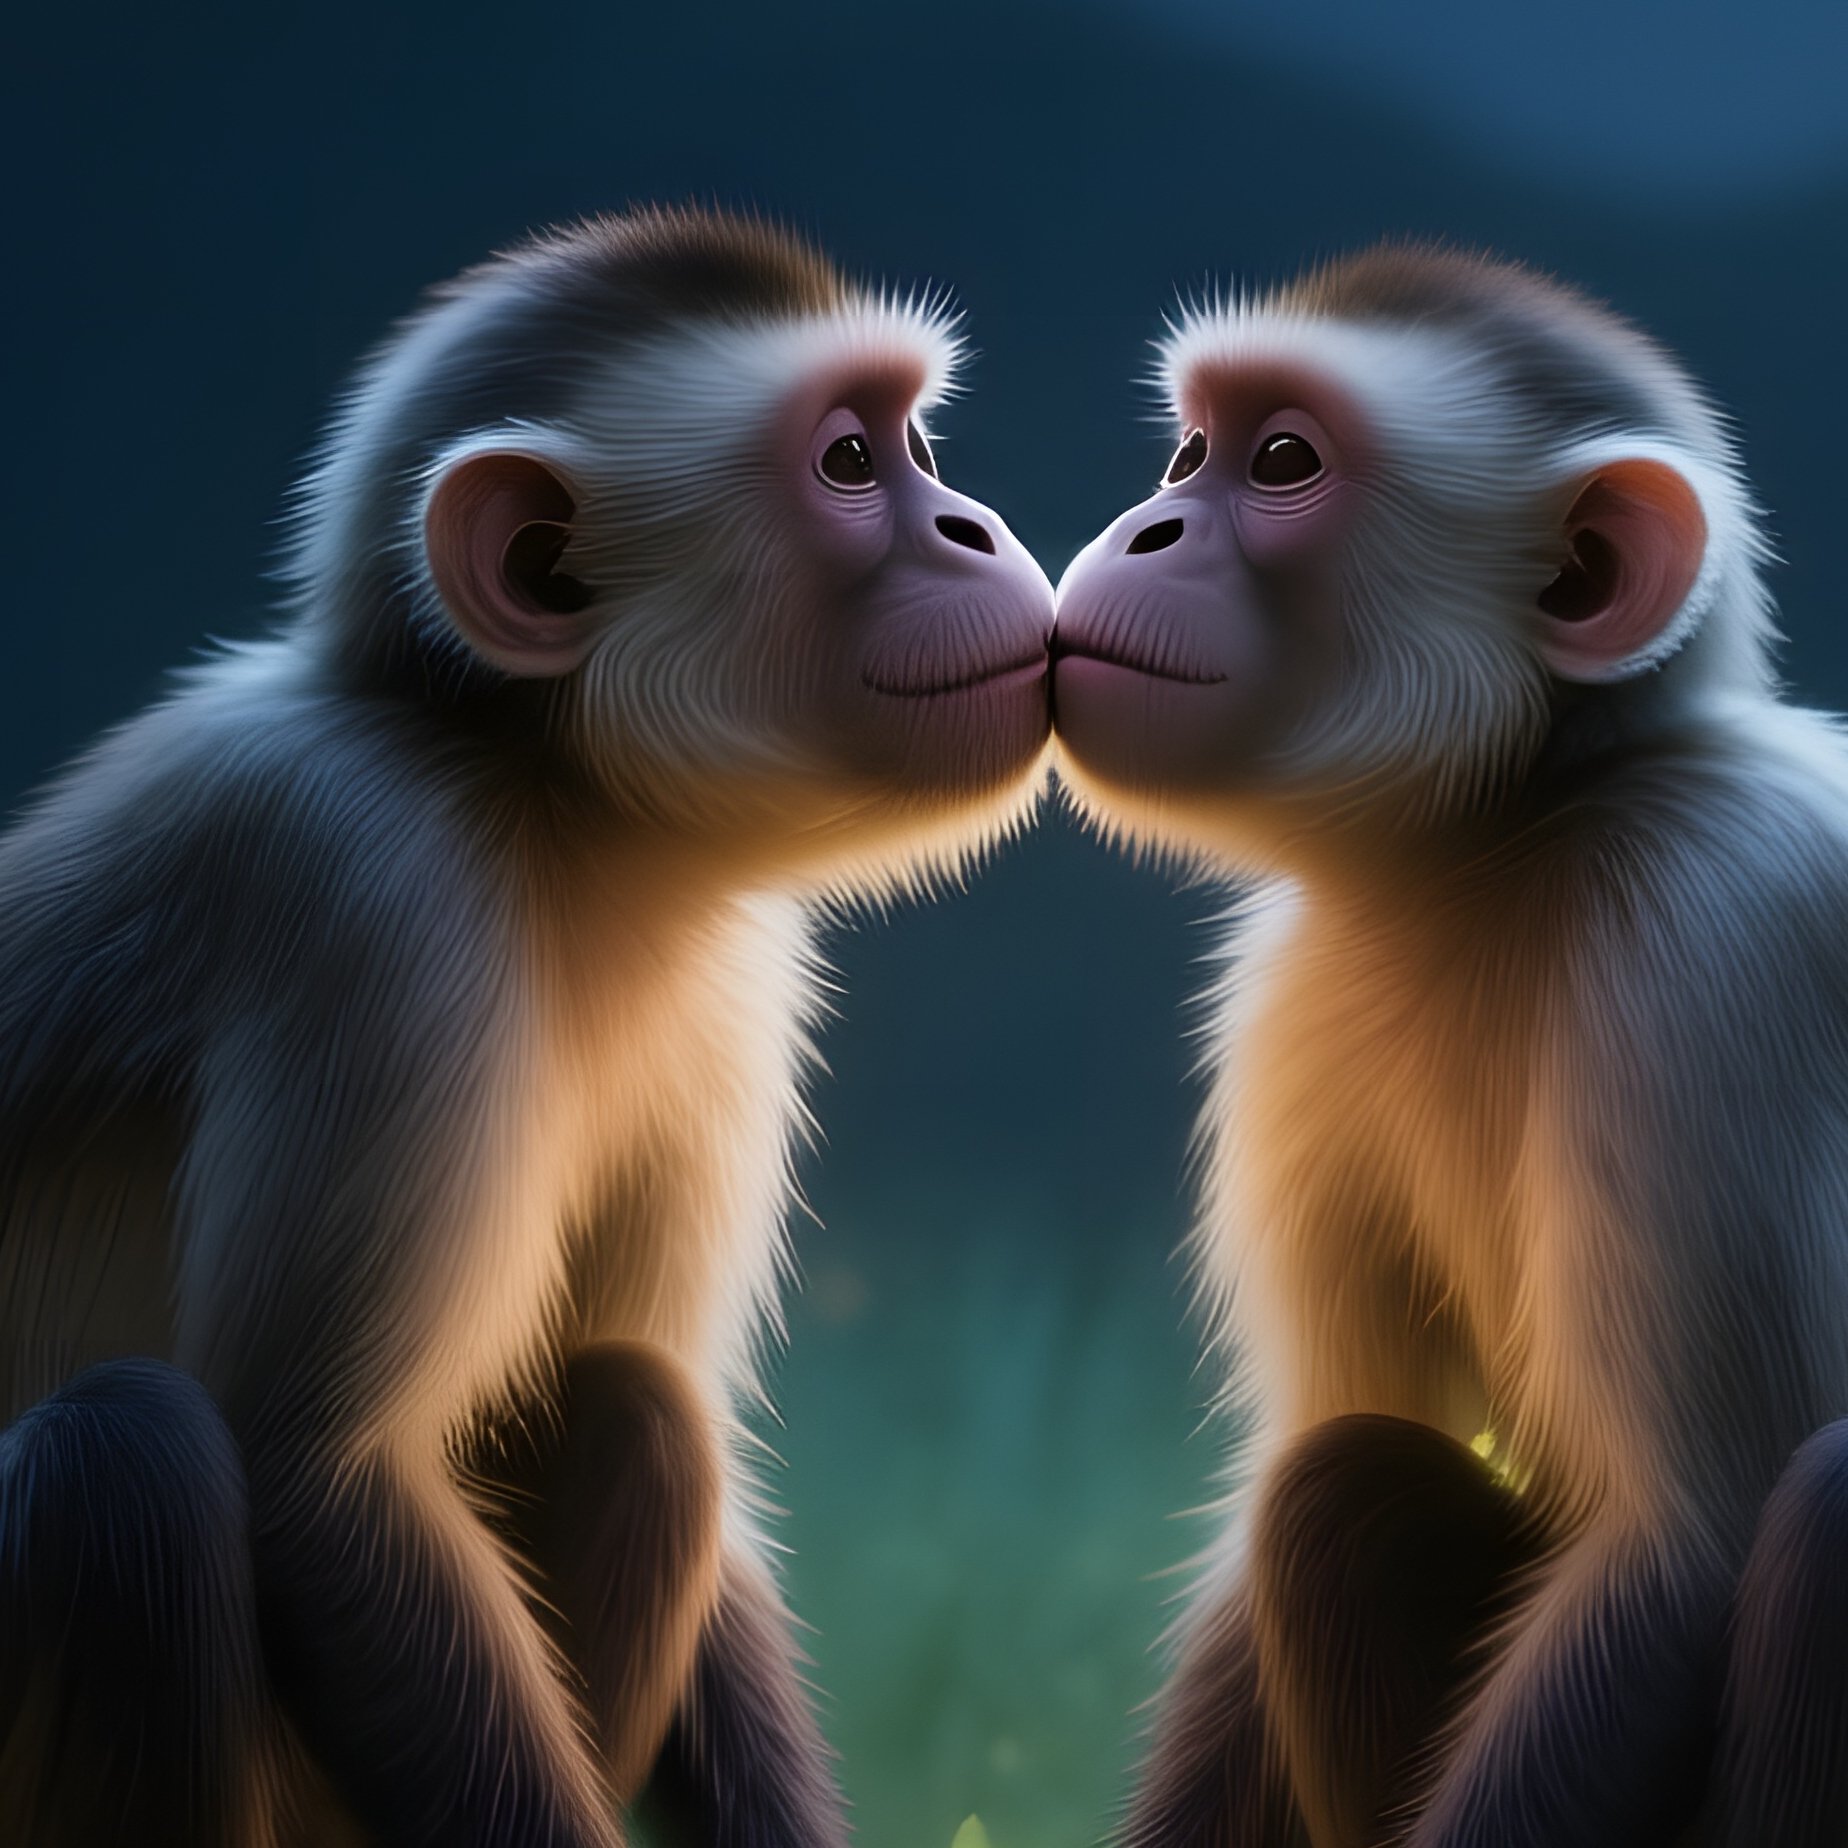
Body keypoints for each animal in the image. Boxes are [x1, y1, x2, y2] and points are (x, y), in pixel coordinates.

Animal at [0, 207, 1055, 1848]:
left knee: (636, 1404)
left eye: (916, 443)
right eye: (847, 462)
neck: (539, 805)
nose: (973, 527)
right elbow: (322, 1481)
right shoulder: (368, 890)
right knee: (124, 1456)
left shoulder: (733, 974)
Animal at [1050, 244, 1848, 1848]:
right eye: (1189, 451)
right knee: (1342, 1487)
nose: (1151, 522)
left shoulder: (1709, 924)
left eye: (1281, 463)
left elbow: (1680, 1547)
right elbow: (1319, 1444)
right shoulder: (1292, 992)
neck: (1515, 839)